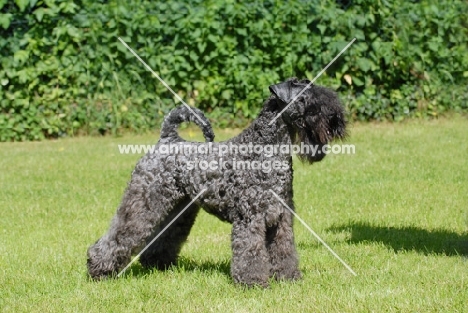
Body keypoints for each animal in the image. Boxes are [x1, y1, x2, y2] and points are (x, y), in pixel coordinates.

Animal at [86, 77, 346, 286]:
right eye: (307, 99)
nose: (336, 119)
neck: (264, 150)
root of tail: (166, 140)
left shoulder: (281, 218)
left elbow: (284, 249)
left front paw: (288, 278)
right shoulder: (250, 218)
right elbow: (250, 251)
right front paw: (253, 283)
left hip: (179, 209)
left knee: (163, 237)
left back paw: (157, 264)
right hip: (143, 203)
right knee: (120, 235)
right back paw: (98, 269)